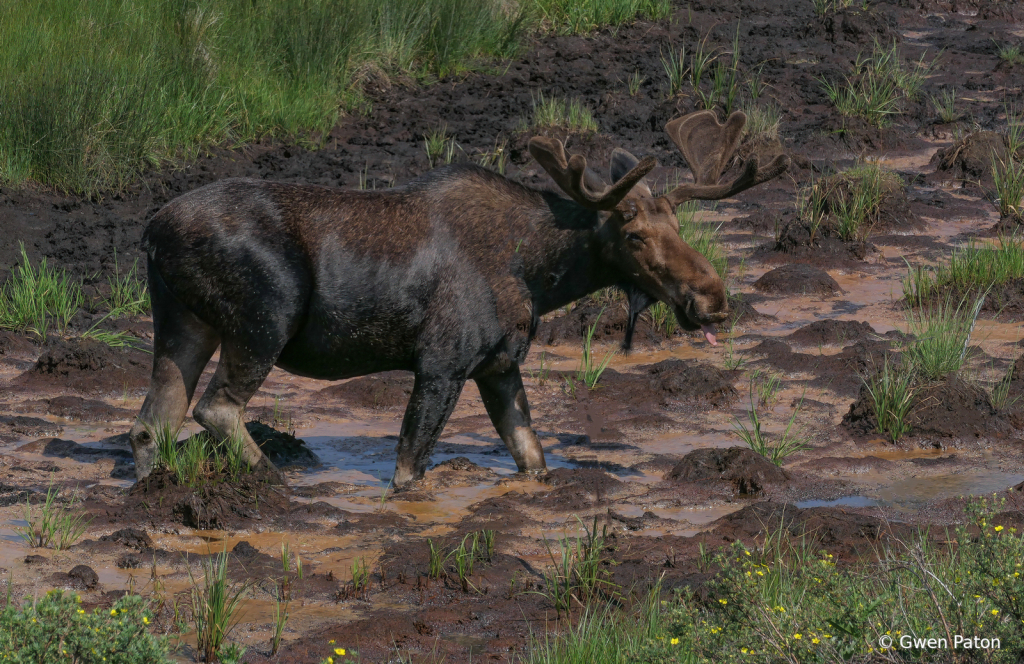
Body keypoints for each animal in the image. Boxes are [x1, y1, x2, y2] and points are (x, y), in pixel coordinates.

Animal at [130, 107, 790, 481]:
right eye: (633, 235)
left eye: (677, 225)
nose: (712, 299)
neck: (540, 276)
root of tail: (151, 231)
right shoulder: (442, 363)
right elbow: (407, 471)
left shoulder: (498, 366)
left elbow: (532, 457)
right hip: (265, 318)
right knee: (216, 409)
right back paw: (277, 485)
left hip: (184, 321)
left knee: (151, 423)